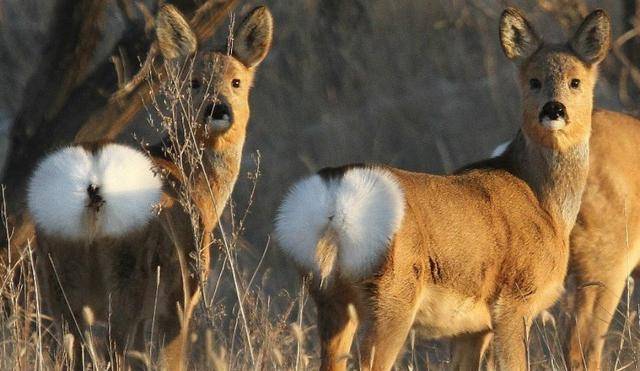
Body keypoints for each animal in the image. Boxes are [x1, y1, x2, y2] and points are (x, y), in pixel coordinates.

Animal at [26, 5, 272, 370]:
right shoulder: (179, 294)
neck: (198, 188)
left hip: (58, 279)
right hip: (127, 273)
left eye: (236, 81)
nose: (218, 108)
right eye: (193, 82)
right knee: (113, 348)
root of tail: (91, 186)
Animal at [274, 6, 608, 371]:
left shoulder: (472, 328)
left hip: (328, 295)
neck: (544, 203)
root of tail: (334, 200)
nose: (553, 109)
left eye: (576, 81)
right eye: (533, 81)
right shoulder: (514, 299)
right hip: (392, 293)